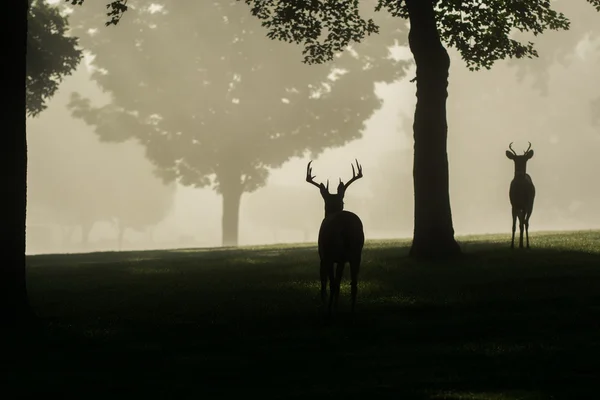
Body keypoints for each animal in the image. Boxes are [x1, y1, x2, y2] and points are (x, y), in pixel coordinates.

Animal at [304, 159, 366, 316]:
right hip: (356, 252)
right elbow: (337, 282)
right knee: (353, 283)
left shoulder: (324, 256)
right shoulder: (337, 259)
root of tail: (347, 226)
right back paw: (352, 311)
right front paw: (334, 306)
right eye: (342, 201)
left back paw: (330, 310)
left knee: (333, 283)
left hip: (333, 251)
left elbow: (325, 282)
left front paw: (326, 305)